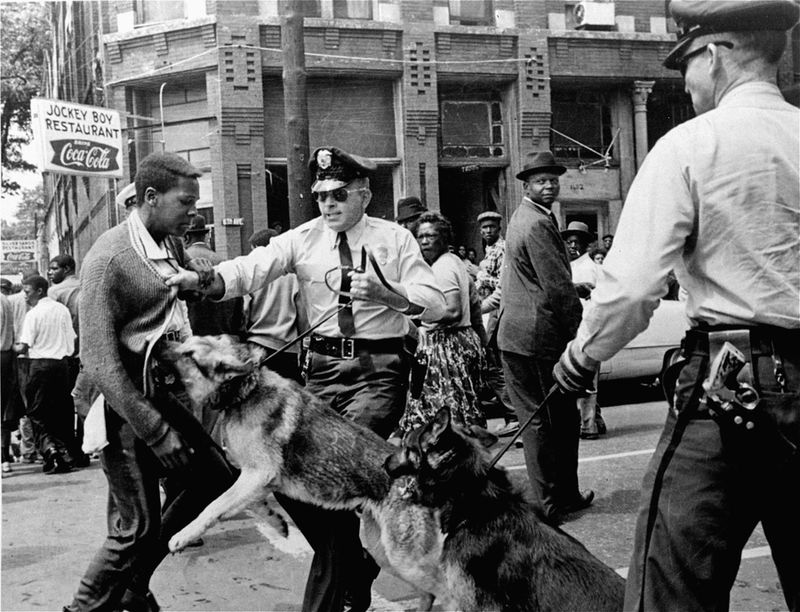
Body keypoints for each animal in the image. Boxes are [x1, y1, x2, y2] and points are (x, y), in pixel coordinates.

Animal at [156, 334, 444, 608]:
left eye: (189, 354)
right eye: (185, 344)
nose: (158, 344)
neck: (246, 390)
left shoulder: (258, 473)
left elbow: (213, 506)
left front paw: (182, 535)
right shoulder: (253, 477)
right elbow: (247, 503)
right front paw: (275, 520)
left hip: (402, 555)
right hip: (382, 548)